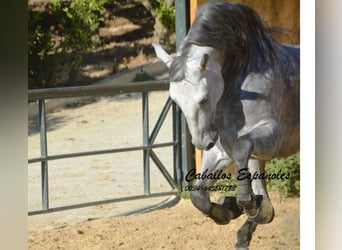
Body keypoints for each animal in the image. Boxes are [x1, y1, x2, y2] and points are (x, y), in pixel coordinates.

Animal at [152, 2, 300, 250]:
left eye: (203, 99)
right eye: (175, 100)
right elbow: (199, 197)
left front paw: (246, 203)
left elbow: (242, 149)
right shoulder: (221, 151)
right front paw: (227, 210)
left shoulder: (270, 137)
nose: (202, 142)